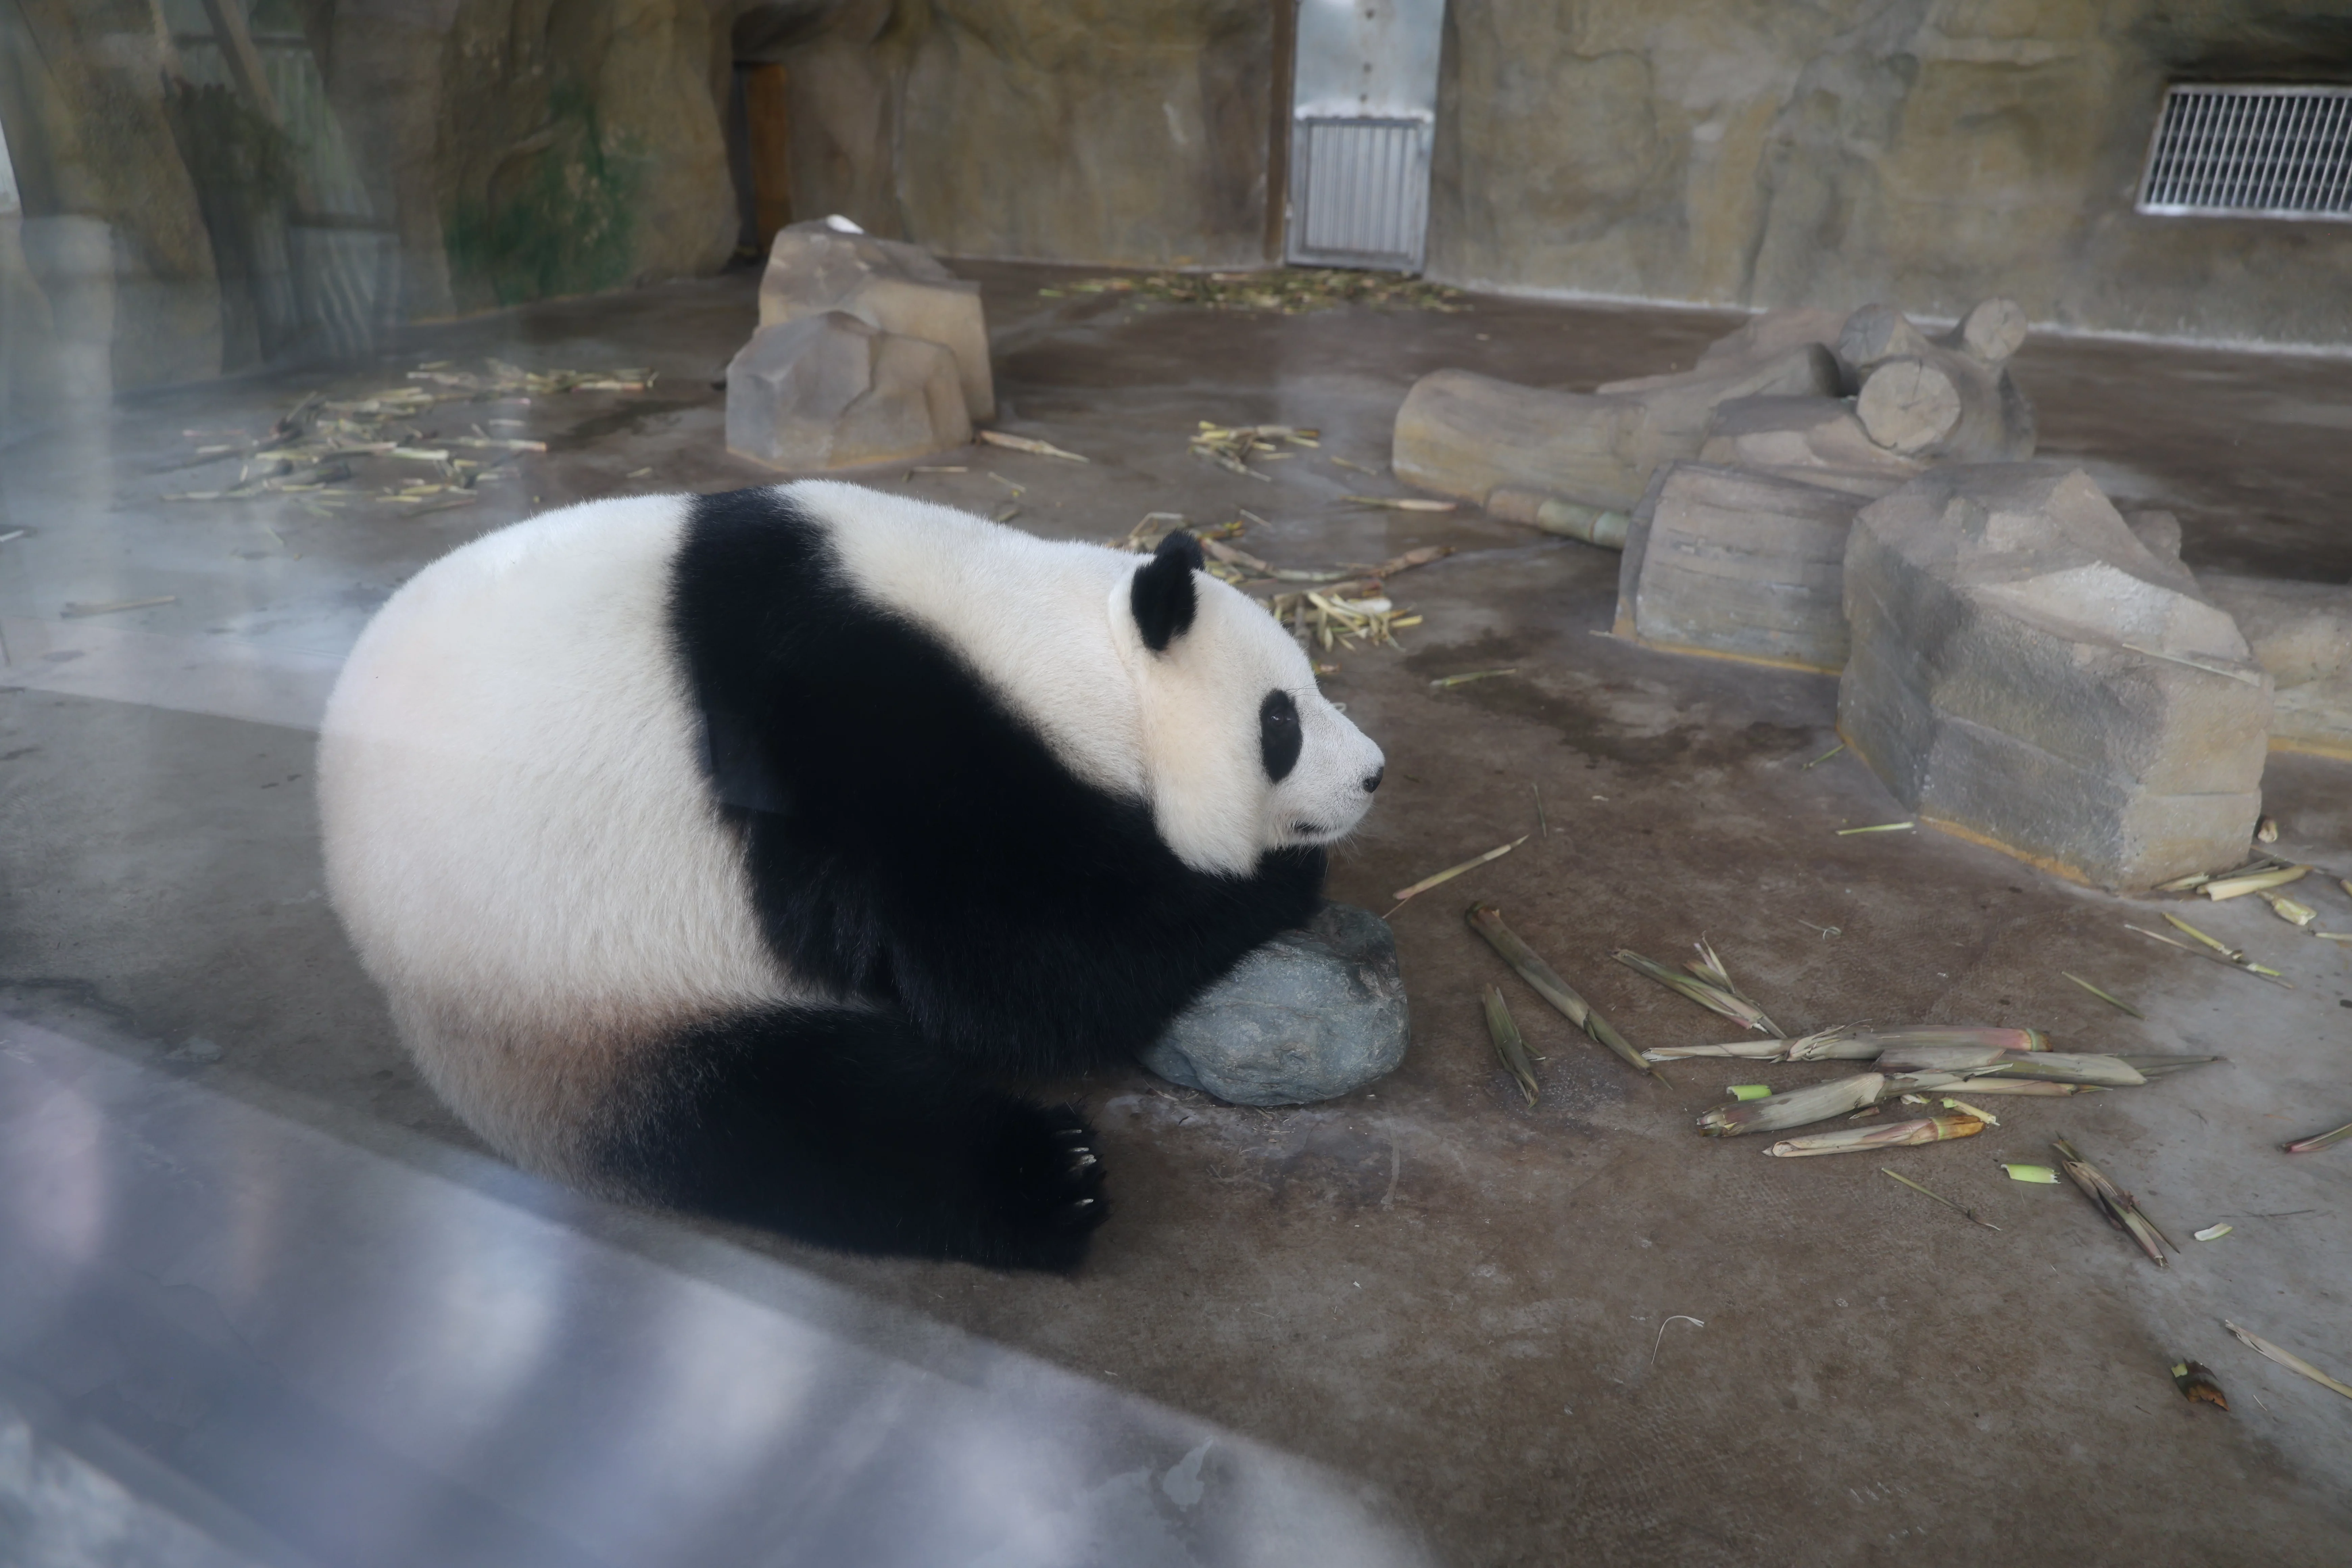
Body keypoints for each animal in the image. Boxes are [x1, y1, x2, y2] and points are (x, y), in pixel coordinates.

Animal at [318, 481, 1385, 1270]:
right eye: (1281, 721)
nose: (1374, 772)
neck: (1048, 646)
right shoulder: (872, 735)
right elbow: (1019, 961)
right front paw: (1277, 879)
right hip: (579, 983)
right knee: (795, 1123)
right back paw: (1047, 1179)